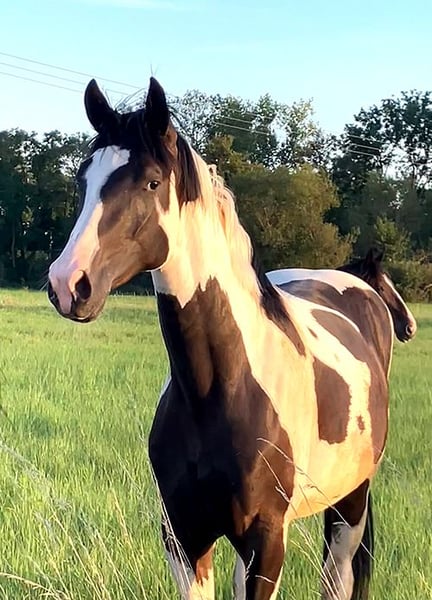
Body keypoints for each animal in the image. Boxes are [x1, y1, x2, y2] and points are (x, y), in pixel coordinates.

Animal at [47, 77, 393, 600]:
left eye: (151, 182)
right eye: (83, 180)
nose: (69, 284)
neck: (221, 388)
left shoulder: (267, 541)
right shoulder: (184, 536)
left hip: (349, 505)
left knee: (339, 579)